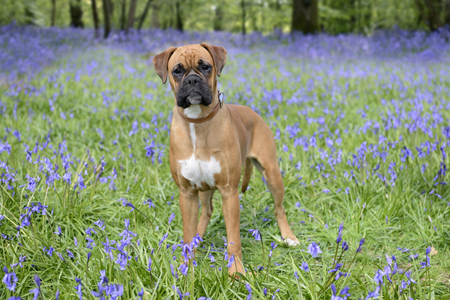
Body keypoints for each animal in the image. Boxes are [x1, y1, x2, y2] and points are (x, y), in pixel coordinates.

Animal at [153, 43, 300, 276]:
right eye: (177, 70)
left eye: (205, 66)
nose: (192, 80)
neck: (198, 121)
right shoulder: (187, 194)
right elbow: (187, 234)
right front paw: (187, 267)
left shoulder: (229, 192)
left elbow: (233, 240)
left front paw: (237, 271)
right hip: (203, 190)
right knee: (206, 212)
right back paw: (199, 238)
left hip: (272, 174)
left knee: (279, 208)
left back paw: (288, 237)